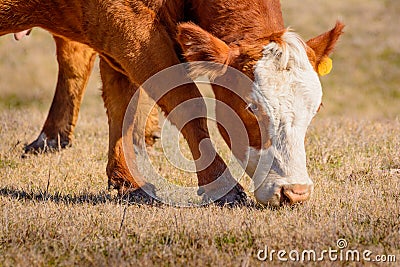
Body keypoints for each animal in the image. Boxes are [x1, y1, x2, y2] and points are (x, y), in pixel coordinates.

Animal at [0, 0, 344, 207]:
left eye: (315, 110)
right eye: (251, 108)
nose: (295, 192)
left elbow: (123, 97)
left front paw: (126, 178)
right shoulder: (131, 29)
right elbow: (184, 99)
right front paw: (223, 187)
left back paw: (51, 138)